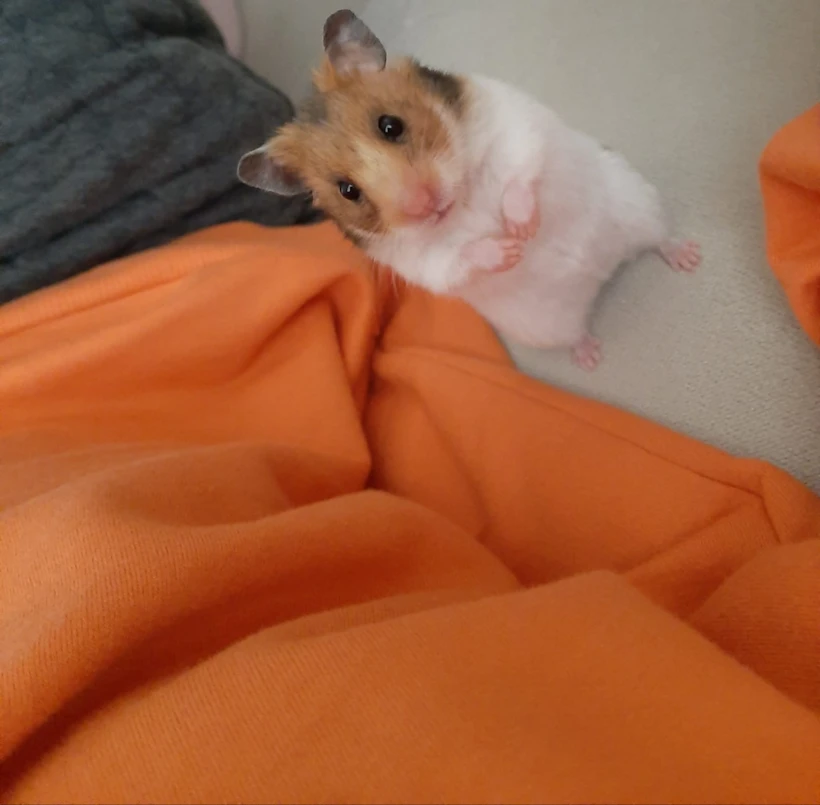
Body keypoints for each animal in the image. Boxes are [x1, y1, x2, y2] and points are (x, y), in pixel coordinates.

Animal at [238, 9, 701, 370]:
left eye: (391, 125)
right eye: (348, 190)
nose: (424, 207)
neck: (461, 199)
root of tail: (602, 275)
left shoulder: (515, 123)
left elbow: (520, 171)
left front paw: (521, 229)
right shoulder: (418, 262)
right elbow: (456, 258)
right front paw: (509, 249)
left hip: (636, 198)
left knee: (659, 238)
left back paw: (690, 259)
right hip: (548, 327)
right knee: (577, 332)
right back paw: (590, 357)